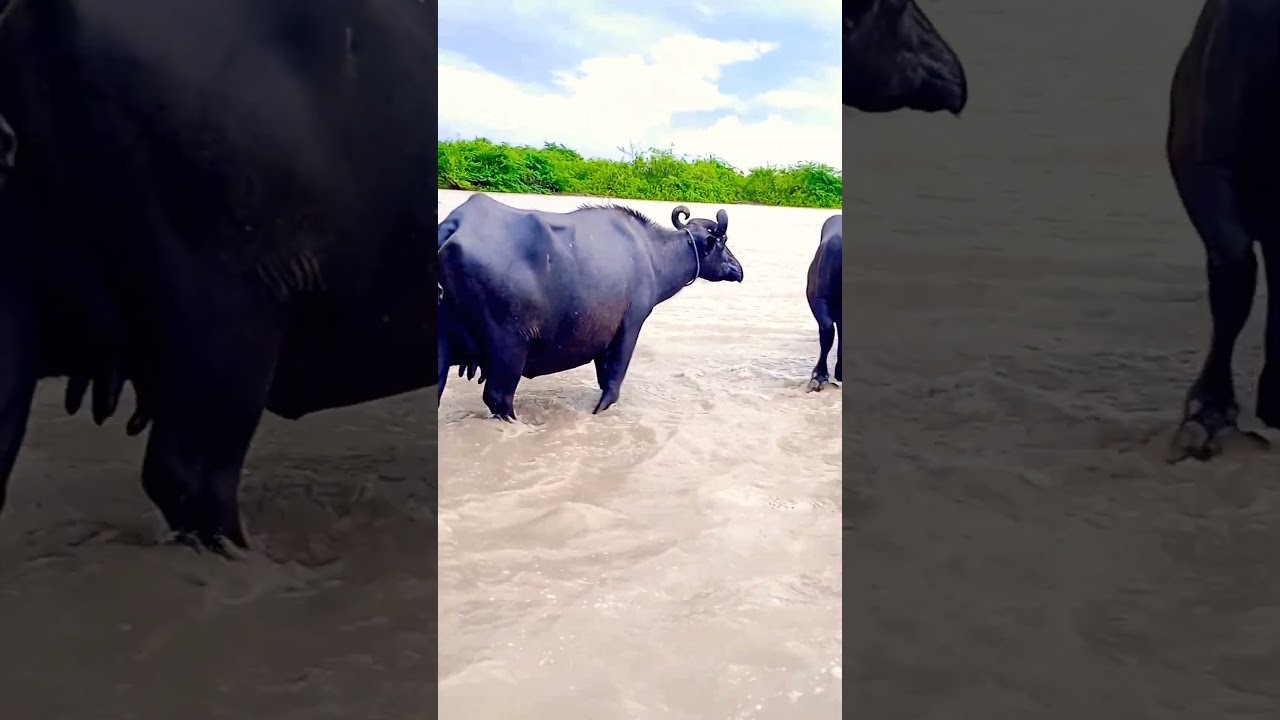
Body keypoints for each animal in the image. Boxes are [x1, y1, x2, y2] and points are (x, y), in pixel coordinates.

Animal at [437, 195, 744, 420]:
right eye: (724, 242)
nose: (739, 270)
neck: (652, 254)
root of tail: (454, 226)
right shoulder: (629, 326)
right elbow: (611, 386)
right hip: (509, 347)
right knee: (498, 397)